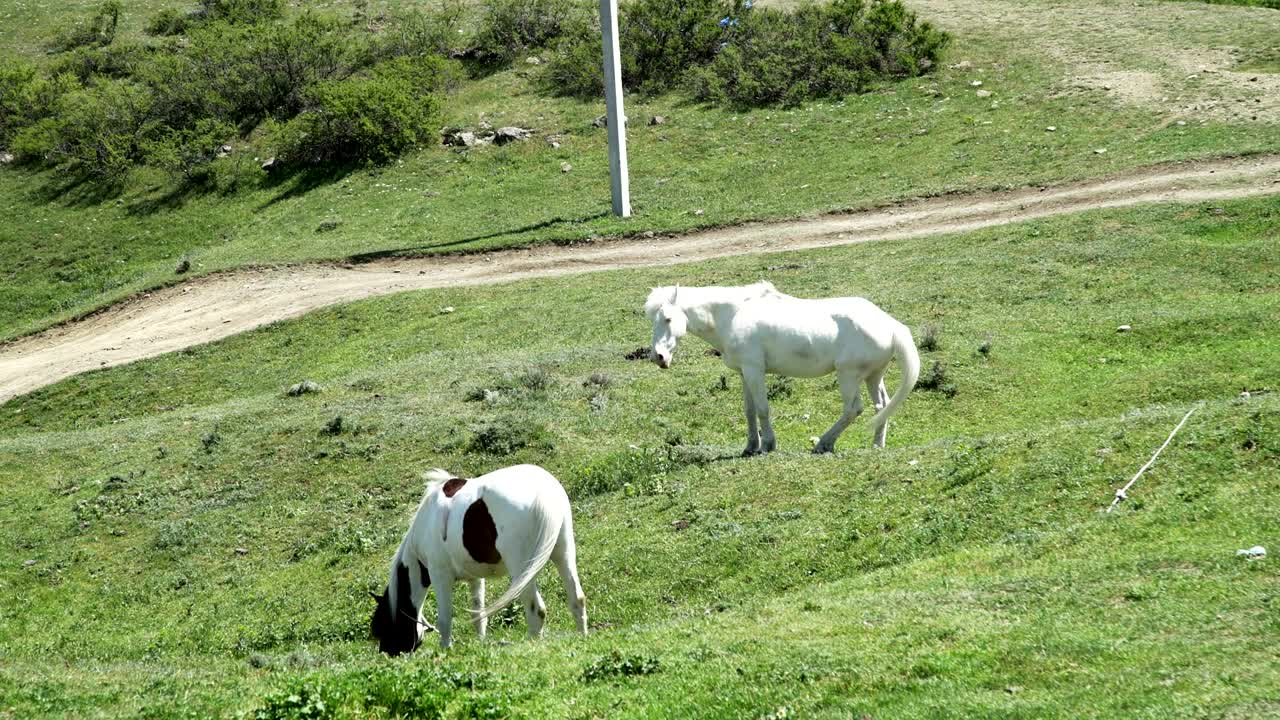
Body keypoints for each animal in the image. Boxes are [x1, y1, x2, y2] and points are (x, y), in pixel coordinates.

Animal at [370, 464, 587, 653]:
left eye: (384, 627)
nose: (388, 654)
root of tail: (542, 492)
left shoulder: (440, 576)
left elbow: (445, 618)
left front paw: (446, 650)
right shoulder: (475, 578)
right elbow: (478, 615)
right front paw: (481, 643)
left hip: (522, 569)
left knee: (536, 609)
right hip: (563, 554)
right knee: (577, 598)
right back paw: (581, 636)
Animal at [644, 283, 919, 453]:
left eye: (668, 319)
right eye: (653, 320)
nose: (659, 356)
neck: (733, 317)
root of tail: (890, 325)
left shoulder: (755, 371)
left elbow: (763, 410)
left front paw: (768, 444)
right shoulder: (745, 373)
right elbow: (749, 411)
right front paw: (750, 447)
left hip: (848, 375)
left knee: (854, 409)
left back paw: (824, 443)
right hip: (873, 376)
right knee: (882, 406)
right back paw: (877, 444)